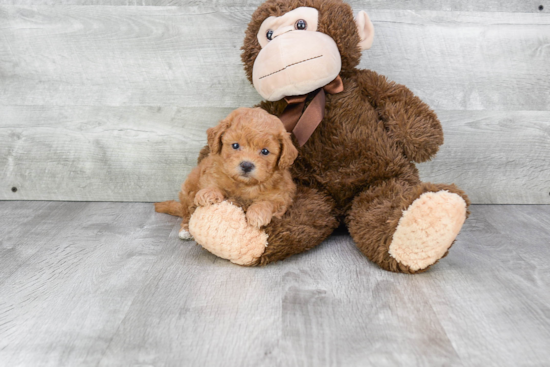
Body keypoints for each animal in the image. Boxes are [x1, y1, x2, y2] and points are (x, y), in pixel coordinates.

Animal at [155, 107, 300, 239]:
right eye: (235, 145)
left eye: (265, 151)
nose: (246, 165)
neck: (244, 184)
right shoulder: (211, 173)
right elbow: (212, 184)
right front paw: (209, 193)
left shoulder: (282, 197)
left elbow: (269, 202)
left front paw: (257, 213)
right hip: (189, 188)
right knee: (188, 212)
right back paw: (185, 230)